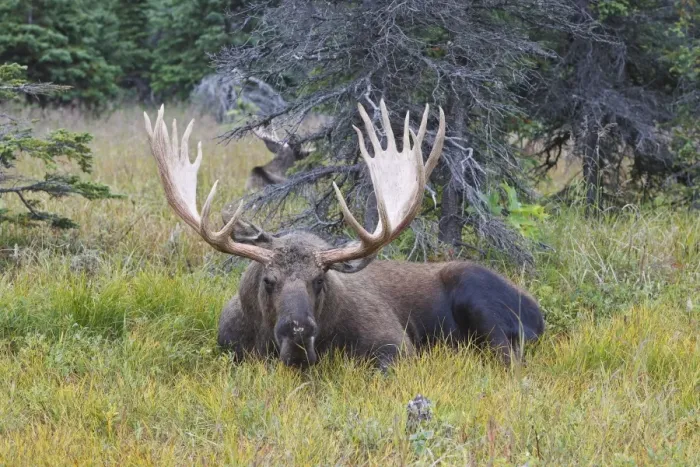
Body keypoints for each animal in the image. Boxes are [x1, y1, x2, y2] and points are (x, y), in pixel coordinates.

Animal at [143, 100, 544, 371]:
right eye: (268, 281)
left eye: (320, 280)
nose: (298, 330)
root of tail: (538, 312)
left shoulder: (395, 343)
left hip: (480, 297)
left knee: (508, 358)